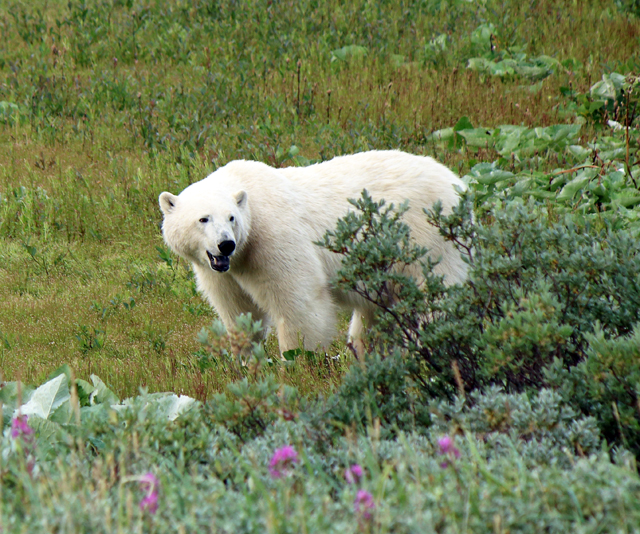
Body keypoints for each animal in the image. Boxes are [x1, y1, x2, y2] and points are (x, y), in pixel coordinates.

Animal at [158, 150, 467, 355]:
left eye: (231, 217)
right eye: (203, 219)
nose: (226, 244)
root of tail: (458, 183)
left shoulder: (274, 239)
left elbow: (298, 305)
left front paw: (297, 364)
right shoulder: (221, 271)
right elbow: (239, 312)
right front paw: (244, 361)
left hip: (428, 240)